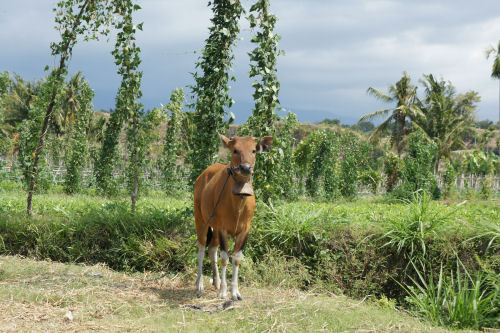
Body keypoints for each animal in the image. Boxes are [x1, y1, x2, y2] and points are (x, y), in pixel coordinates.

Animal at [194, 134, 274, 300]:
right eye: (235, 150)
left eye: (254, 150)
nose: (245, 168)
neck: (238, 204)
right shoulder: (223, 228)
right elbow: (225, 258)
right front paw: (224, 291)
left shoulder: (245, 230)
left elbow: (236, 258)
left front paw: (235, 292)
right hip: (200, 219)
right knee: (201, 248)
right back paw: (199, 285)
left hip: (213, 226)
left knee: (212, 249)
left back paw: (216, 282)